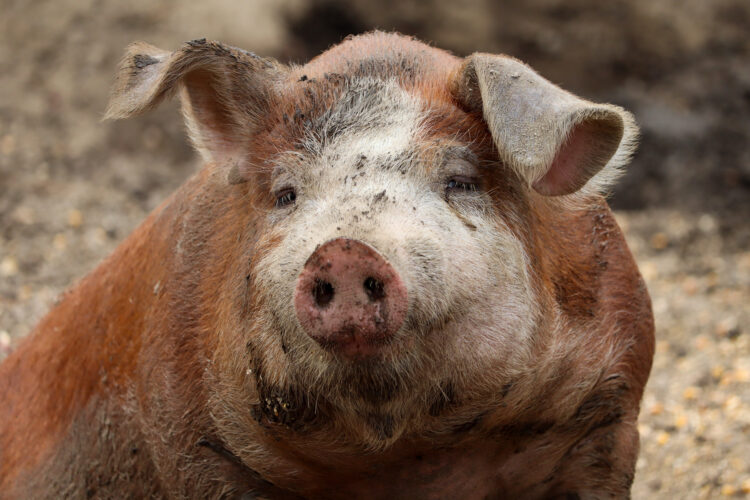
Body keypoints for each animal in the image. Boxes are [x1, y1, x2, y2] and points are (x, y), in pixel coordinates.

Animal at [0, 32, 654, 499]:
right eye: (286, 194)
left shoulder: (610, 410)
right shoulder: (191, 439)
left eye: (460, 181)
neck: (403, 458)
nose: (342, 249)